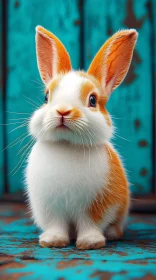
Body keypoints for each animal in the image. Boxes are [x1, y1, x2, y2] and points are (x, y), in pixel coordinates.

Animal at [25, 26, 138, 249]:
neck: (67, 145)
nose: (62, 111)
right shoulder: (51, 207)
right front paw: (53, 241)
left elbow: (90, 224)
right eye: (46, 97)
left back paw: (113, 234)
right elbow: (56, 224)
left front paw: (90, 243)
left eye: (92, 100)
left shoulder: (96, 204)